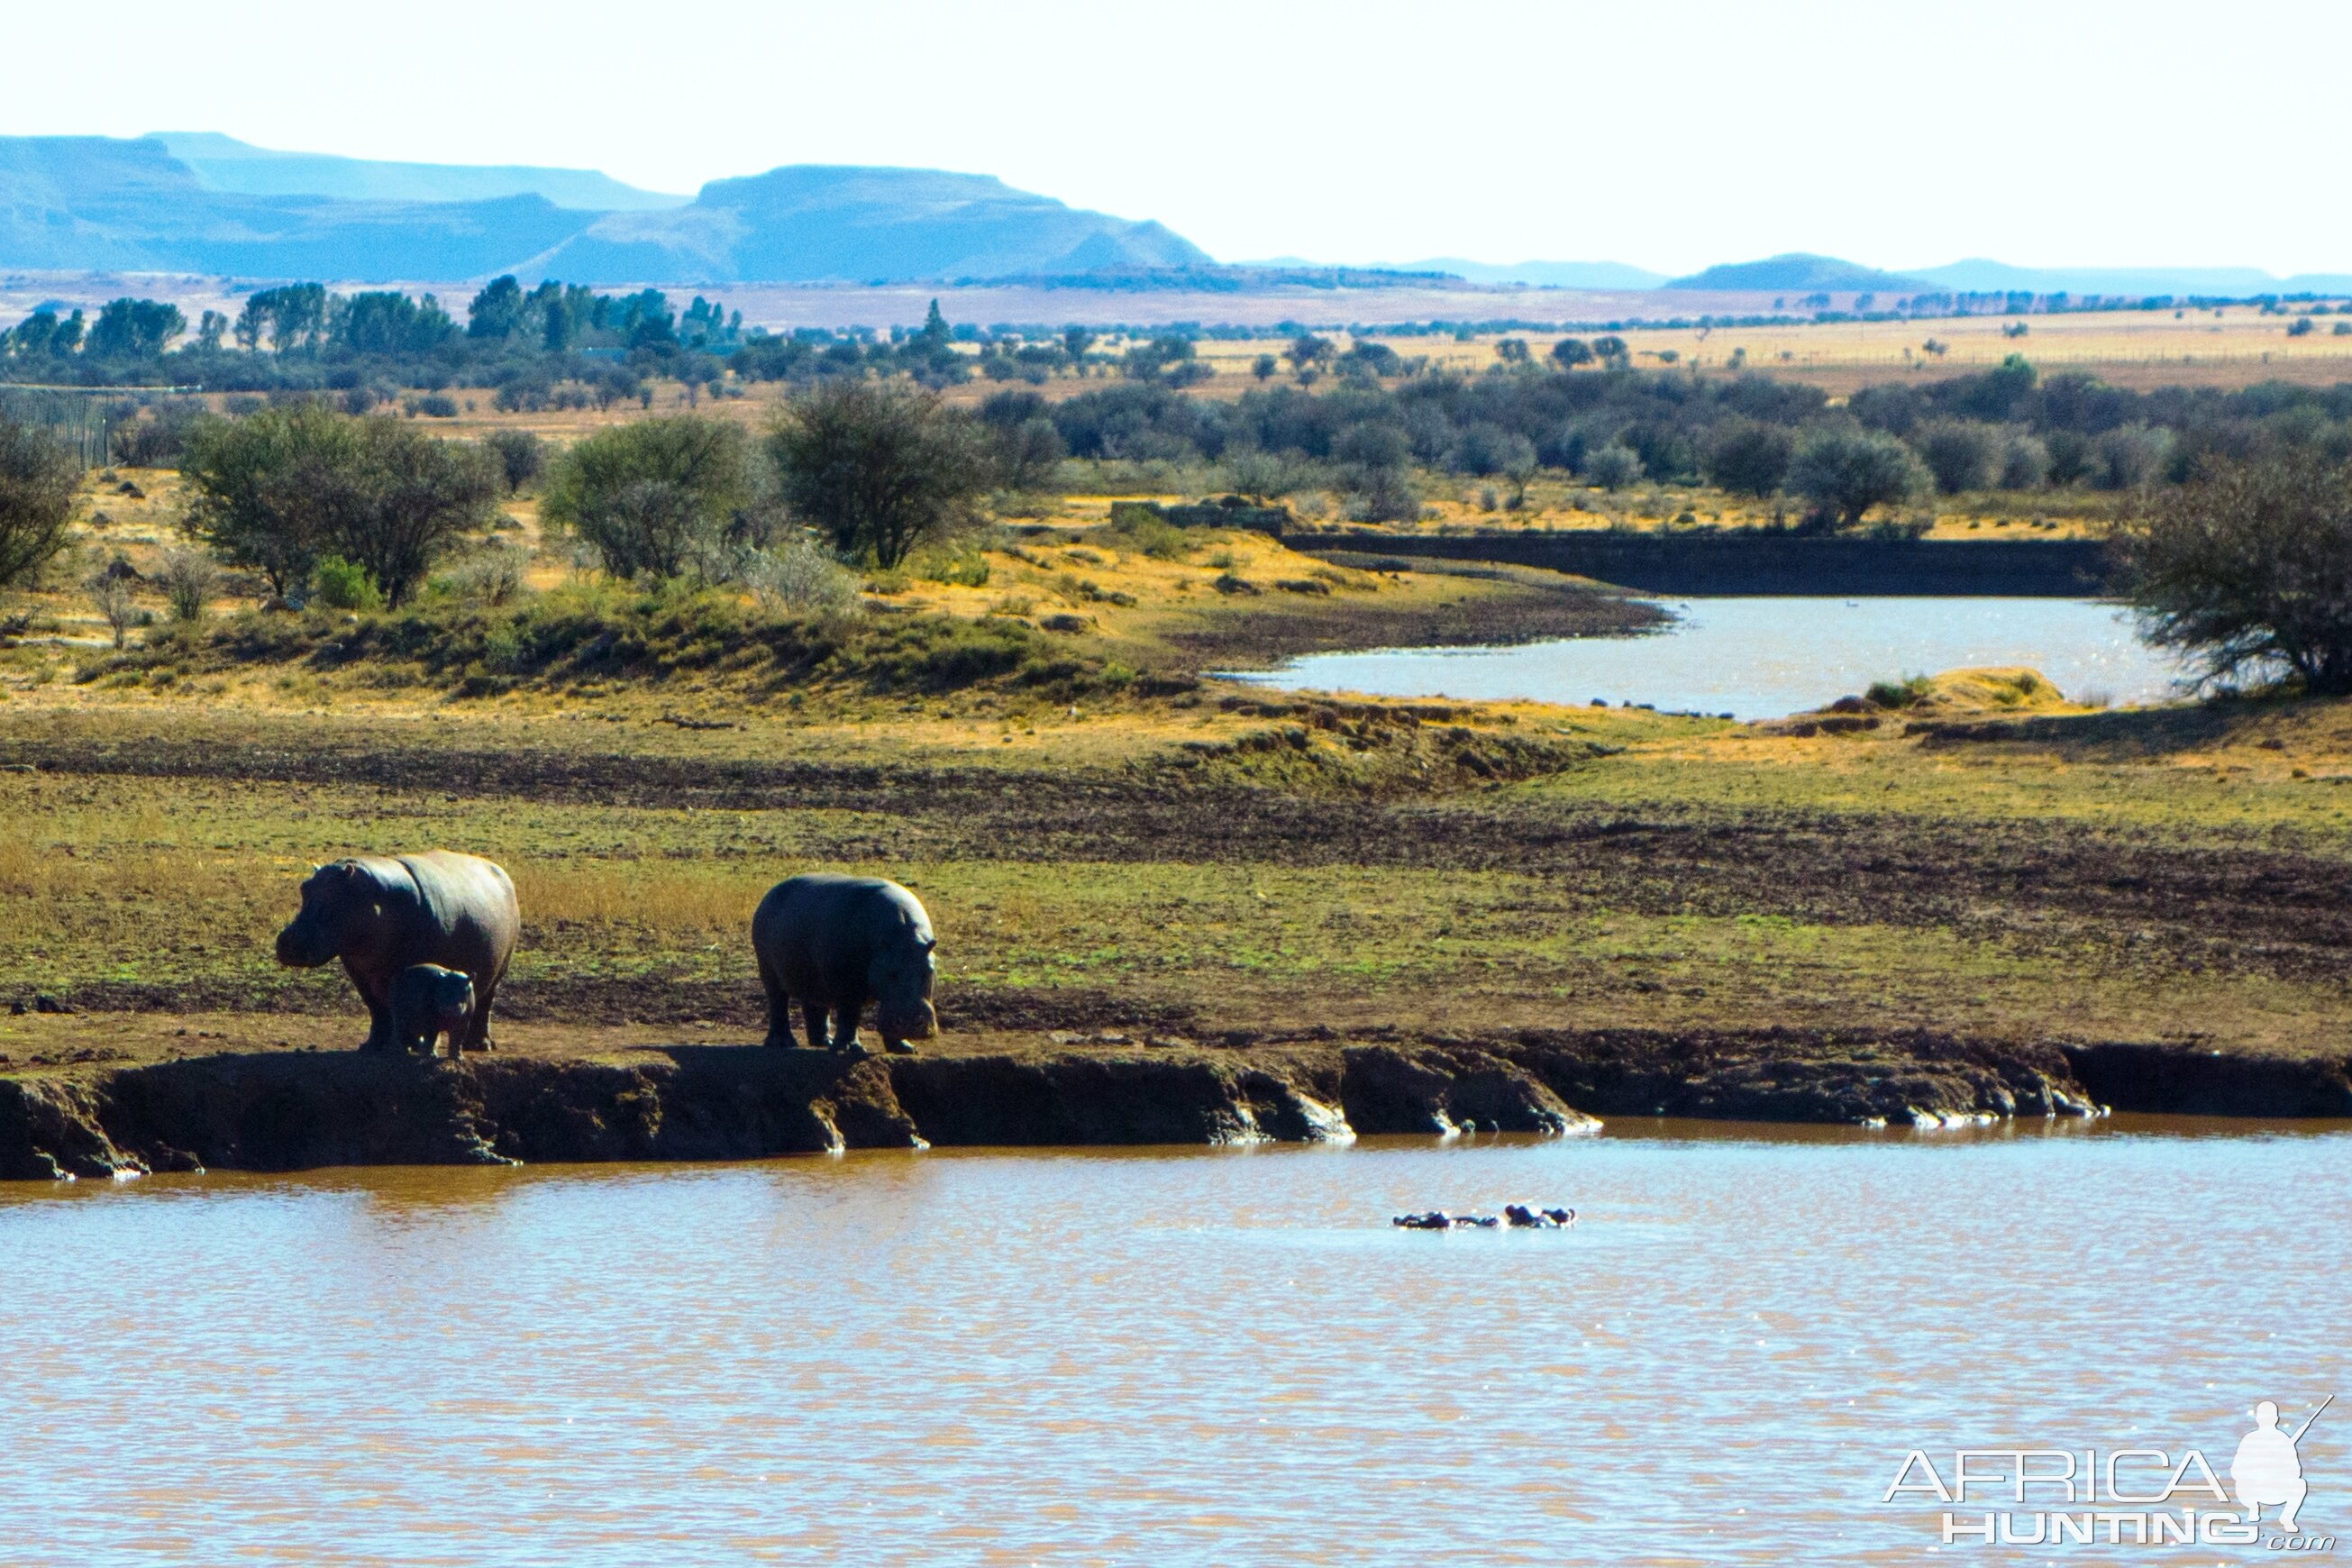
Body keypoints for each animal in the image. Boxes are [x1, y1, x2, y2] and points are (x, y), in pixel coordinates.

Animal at [276, 851, 519, 1062]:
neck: (376, 899)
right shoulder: (358, 972)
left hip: (499, 970)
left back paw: (481, 1045)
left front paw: (406, 1046)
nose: (287, 940)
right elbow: (376, 1009)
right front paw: (371, 1046)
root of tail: (501, 871)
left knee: (485, 1005)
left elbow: (400, 1007)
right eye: (304, 887)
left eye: (336, 894)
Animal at [752, 870, 935, 1053]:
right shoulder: (847, 985)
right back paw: (784, 1043)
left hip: (813, 979)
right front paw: (849, 1049)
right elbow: (849, 1014)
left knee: (814, 1006)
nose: (910, 1023)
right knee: (778, 1003)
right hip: (770, 972)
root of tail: (770, 894)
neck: (903, 936)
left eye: (929, 971)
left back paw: (825, 1042)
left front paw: (905, 1049)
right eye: (891, 974)